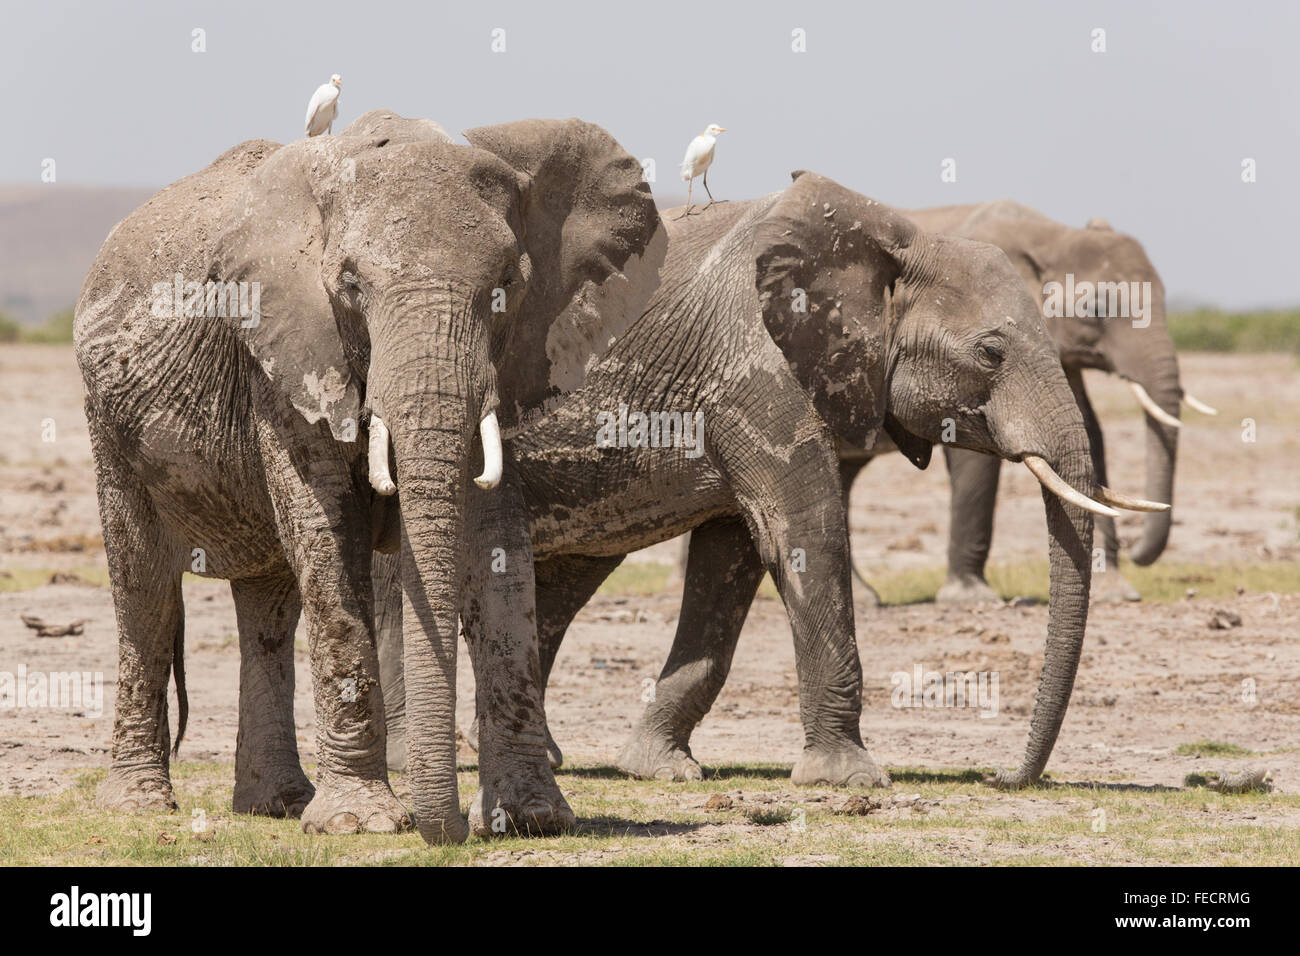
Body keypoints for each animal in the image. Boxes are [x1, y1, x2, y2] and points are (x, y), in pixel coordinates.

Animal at [78, 111, 670, 842]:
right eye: (352, 285)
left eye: (508, 282)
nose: (450, 830)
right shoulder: (287, 354)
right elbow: (327, 534)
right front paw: (359, 823)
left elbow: (499, 545)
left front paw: (533, 818)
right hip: (109, 423)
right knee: (145, 591)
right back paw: (139, 804)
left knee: (269, 608)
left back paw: (276, 805)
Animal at [379, 171, 1159, 790]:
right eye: (992, 353)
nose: (1005, 776)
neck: (896, 238)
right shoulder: (759, 370)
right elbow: (806, 533)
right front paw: (849, 779)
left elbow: (733, 560)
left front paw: (660, 767)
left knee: (564, 579)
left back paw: (536, 754)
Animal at [842, 201, 1206, 606]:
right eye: (1095, 310)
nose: (1137, 553)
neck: (1050, 235)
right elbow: (974, 458)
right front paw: (971, 598)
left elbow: (1090, 432)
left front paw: (1117, 592)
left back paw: (865, 598)